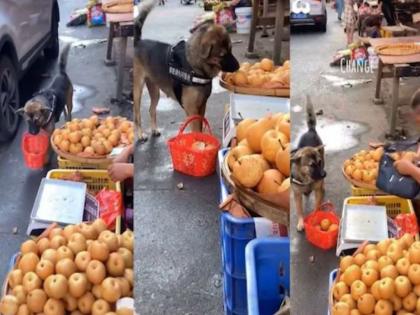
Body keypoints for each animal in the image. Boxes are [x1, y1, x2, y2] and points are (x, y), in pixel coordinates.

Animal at [134, 0, 240, 142]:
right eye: (222, 55)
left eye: (231, 49)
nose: (238, 66)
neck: (195, 66)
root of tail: (138, 42)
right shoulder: (192, 109)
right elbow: (195, 129)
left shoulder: (201, 106)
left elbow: (200, 127)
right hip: (138, 90)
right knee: (137, 115)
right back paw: (140, 134)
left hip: (154, 89)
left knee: (151, 110)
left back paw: (154, 129)